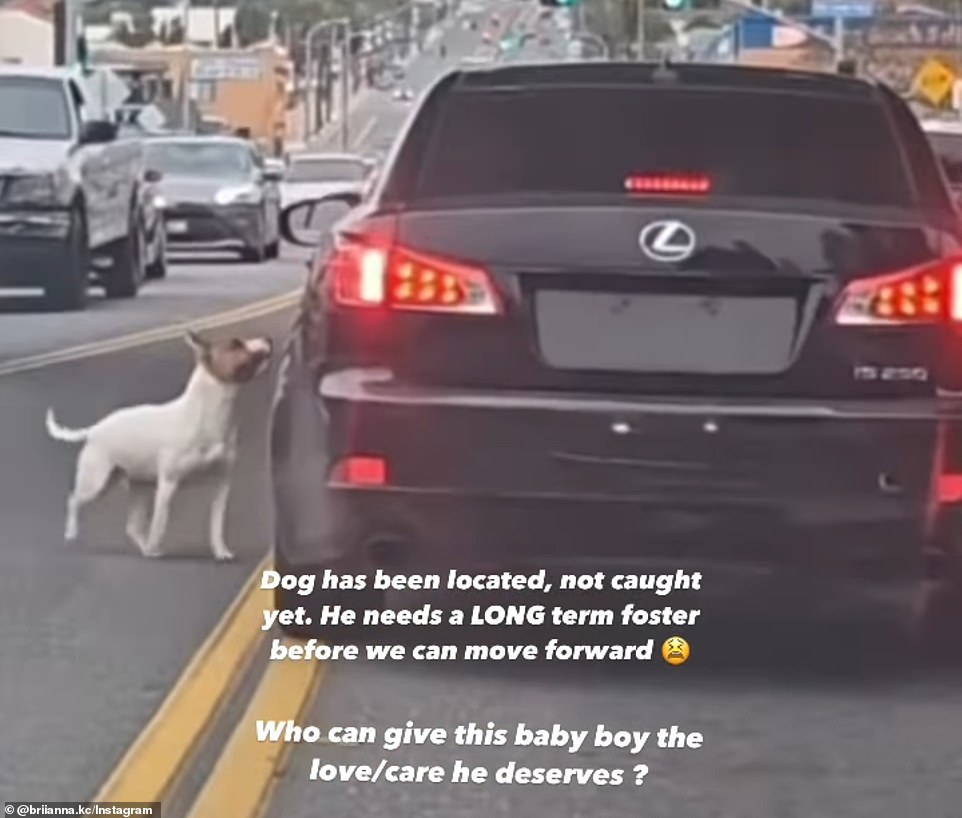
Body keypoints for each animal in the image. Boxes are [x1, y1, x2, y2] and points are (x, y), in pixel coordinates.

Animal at [47, 328, 274, 556]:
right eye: (235, 344)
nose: (268, 339)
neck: (210, 410)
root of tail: (95, 428)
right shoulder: (168, 483)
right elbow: (160, 522)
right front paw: (155, 545)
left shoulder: (221, 484)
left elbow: (216, 524)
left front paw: (220, 551)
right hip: (96, 481)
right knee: (73, 500)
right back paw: (72, 534)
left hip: (139, 486)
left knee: (132, 526)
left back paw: (145, 548)